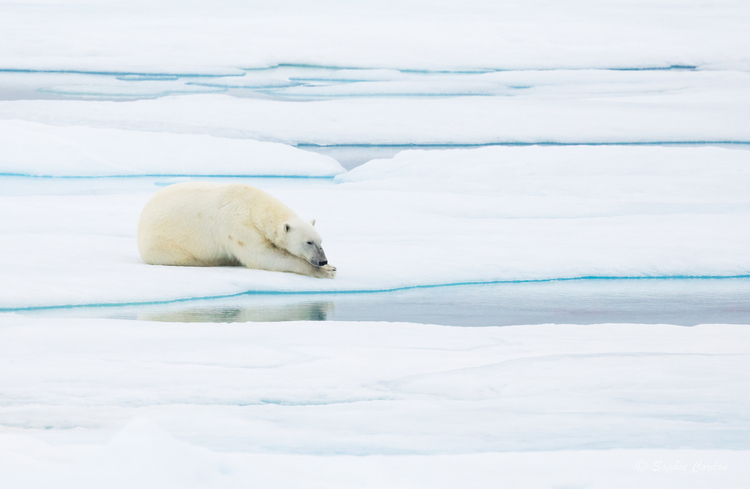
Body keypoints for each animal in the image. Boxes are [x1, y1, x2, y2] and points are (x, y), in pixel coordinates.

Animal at [138, 181, 338, 278]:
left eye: (320, 241)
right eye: (308, 242)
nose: (322, 260)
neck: (252, 206)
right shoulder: (238, 227)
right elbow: (261, 256)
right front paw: (325, 271)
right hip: (164, 245)